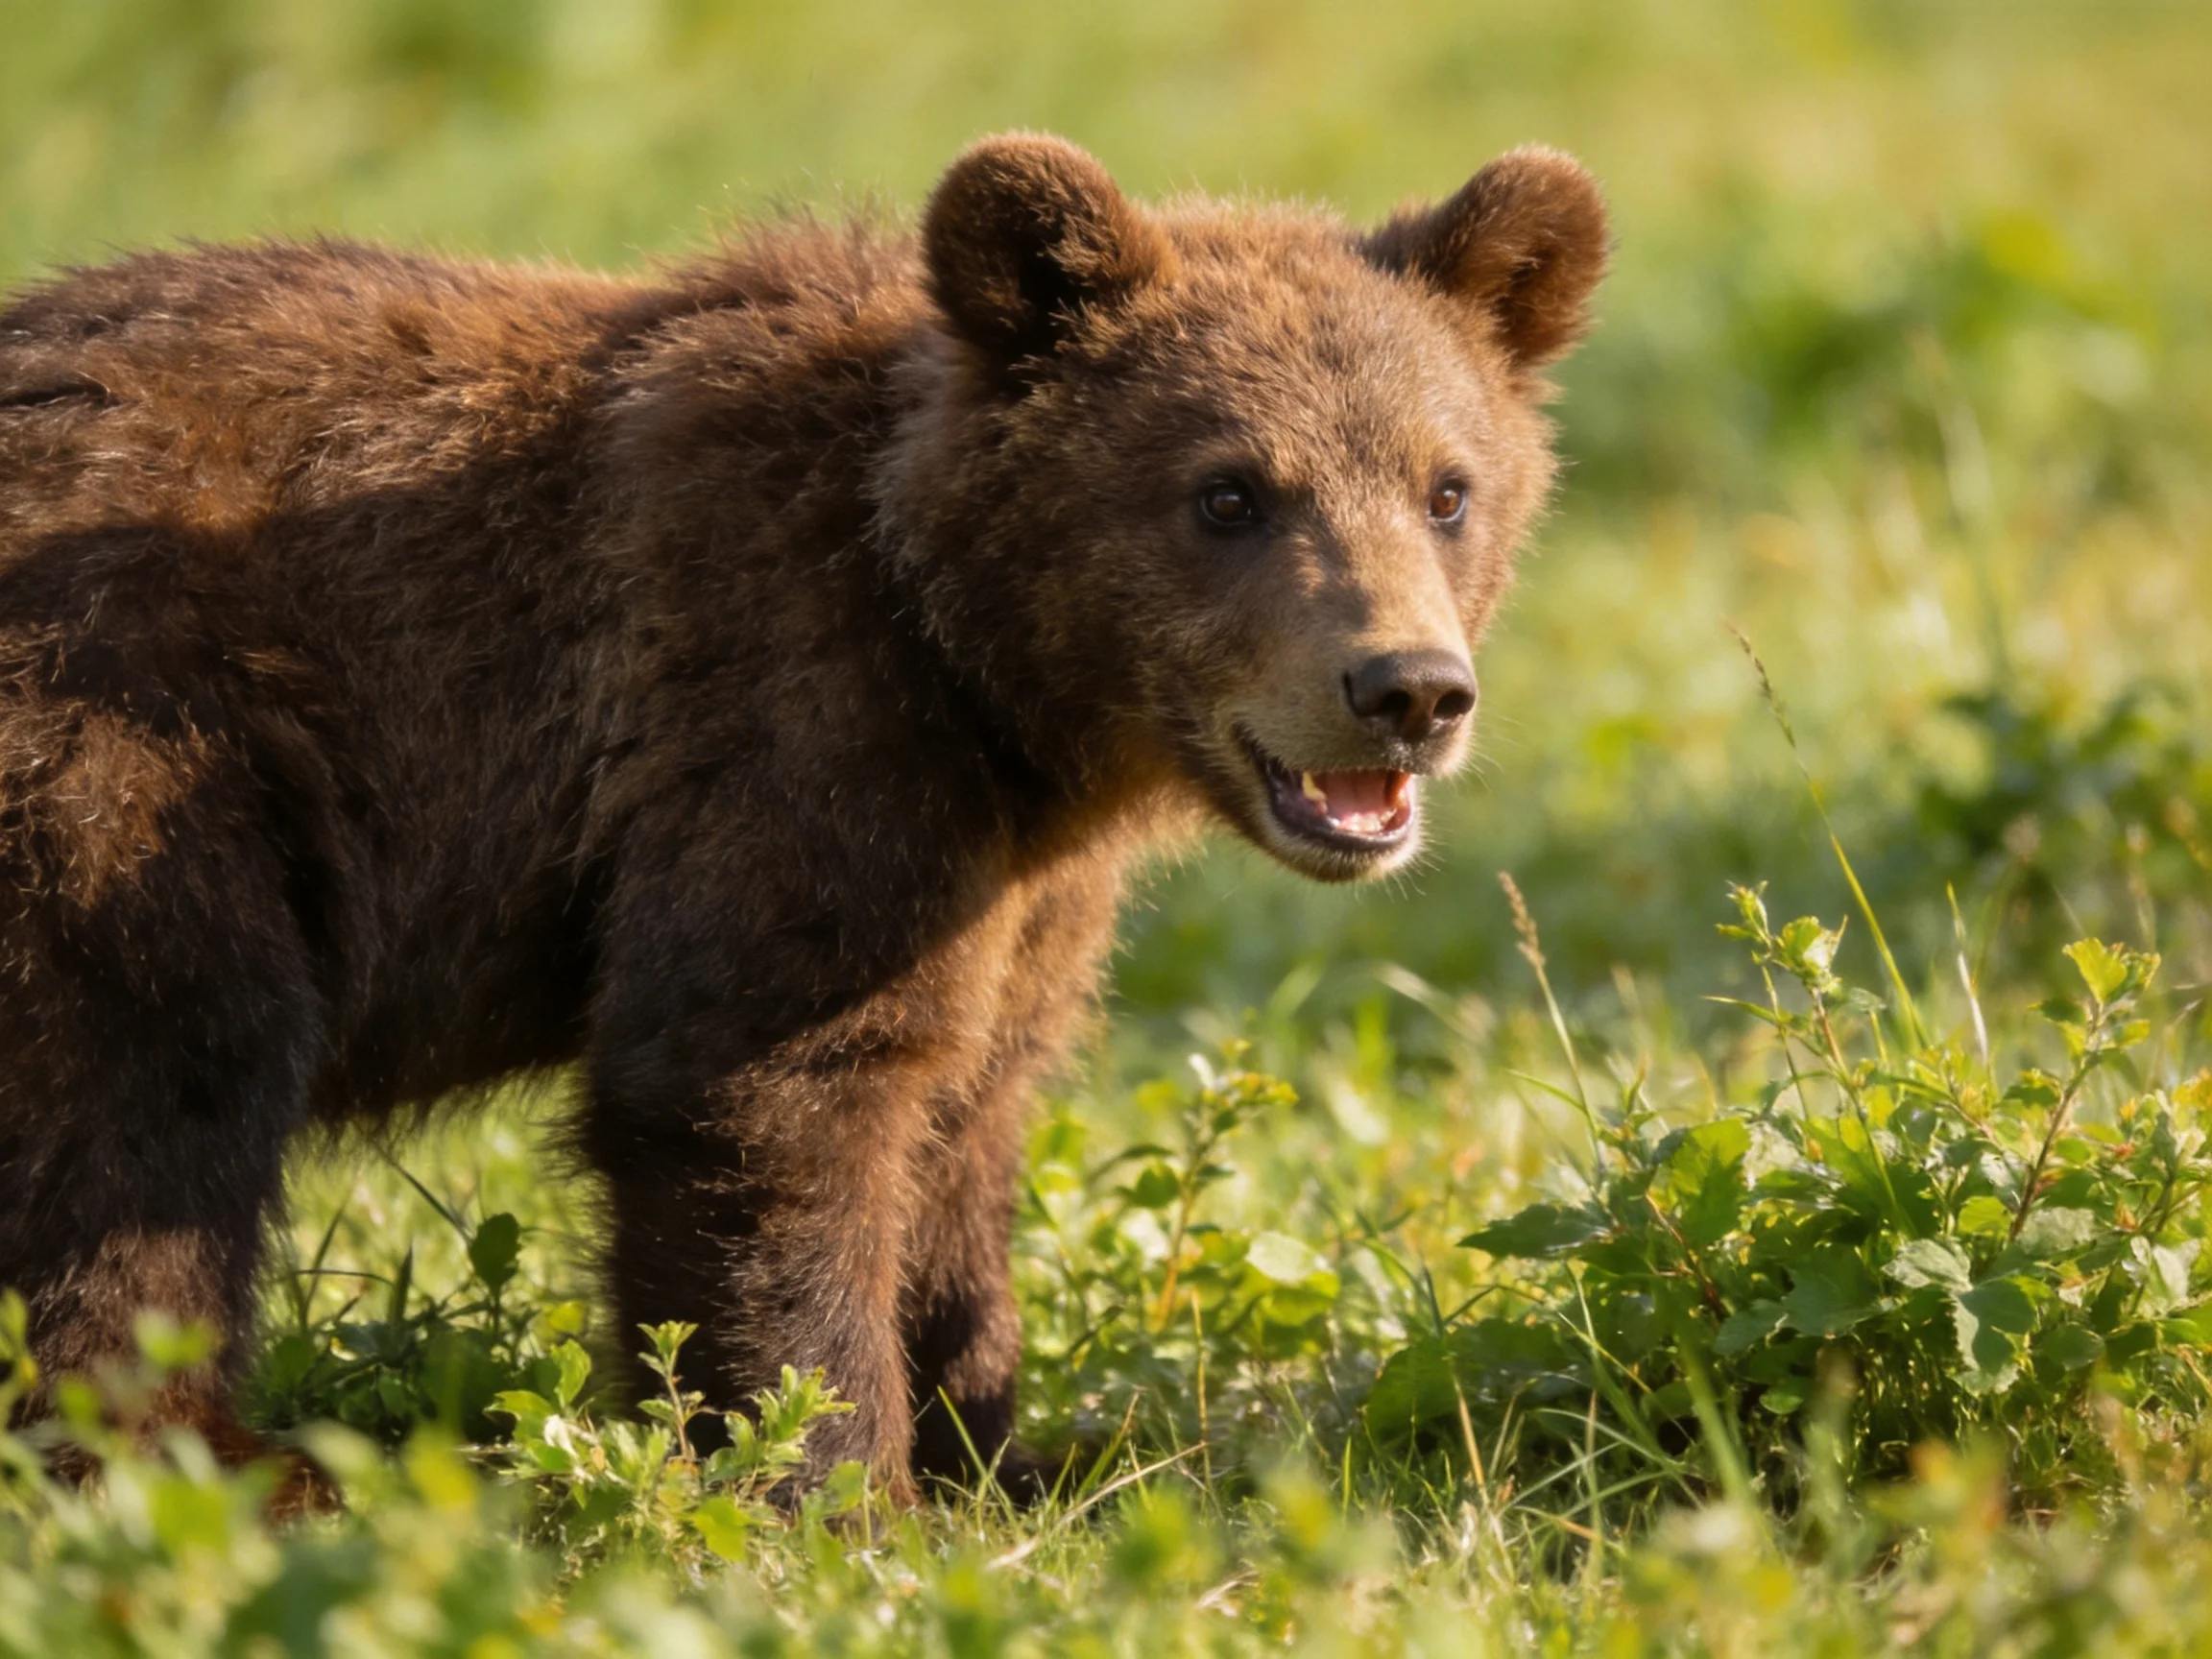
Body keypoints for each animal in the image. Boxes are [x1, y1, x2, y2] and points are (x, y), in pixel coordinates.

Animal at [0, 133, 1606, 1499]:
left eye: (1447, 487)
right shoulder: (783, 720)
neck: (988, 674)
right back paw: (222, 1460)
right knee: (153, 1080)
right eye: (1228, 494)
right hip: (133, 750)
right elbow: (765, 1086)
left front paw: (1012, 1448)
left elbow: (967, 1117)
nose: (1406, 689)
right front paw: (834, 1484)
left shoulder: (1013, 883)